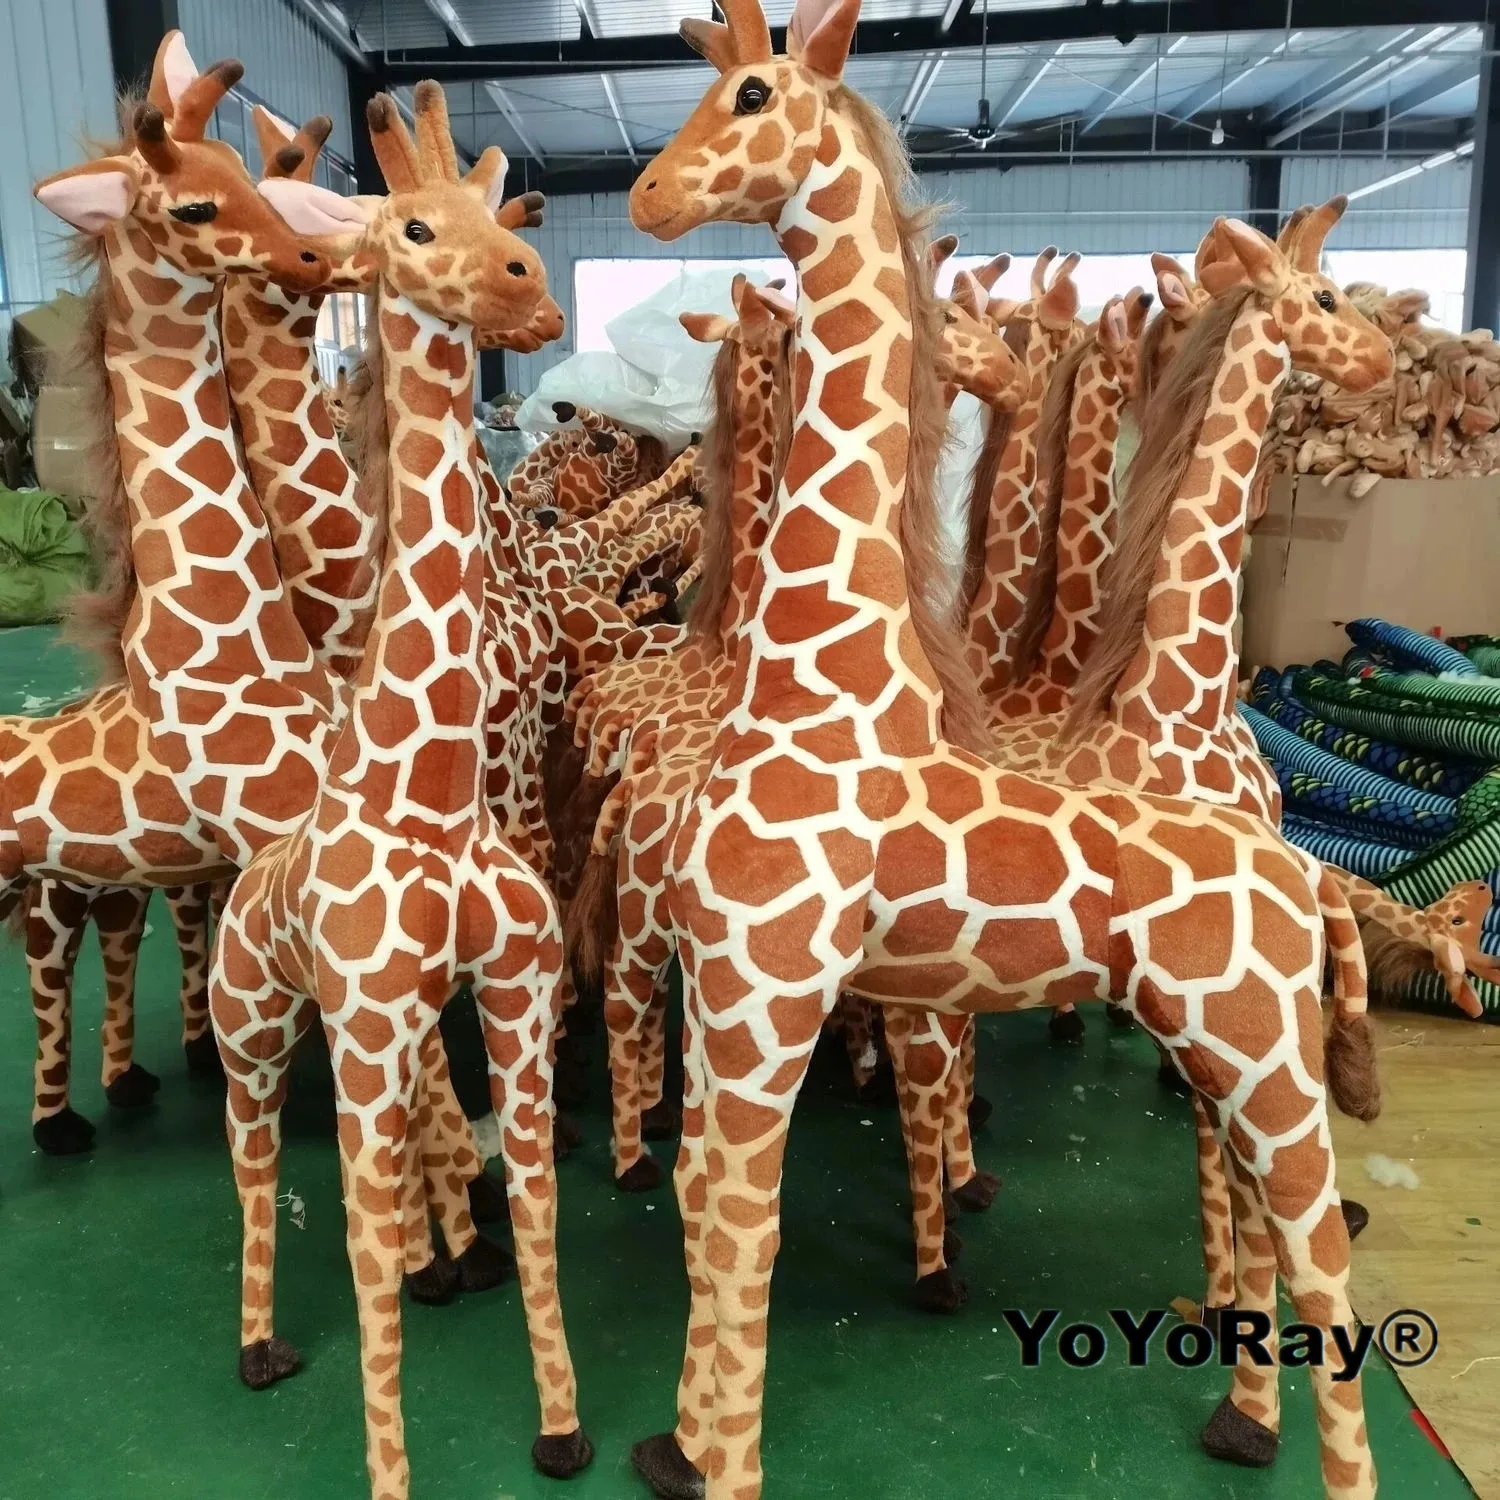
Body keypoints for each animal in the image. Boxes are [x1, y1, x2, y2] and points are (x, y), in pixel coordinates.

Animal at [213, 83, 591, 1500]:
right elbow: (365, 1240)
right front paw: (390, 1474)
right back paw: (258, 1345)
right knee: (255, 1158)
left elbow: (536, 1192)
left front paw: (560, 1424)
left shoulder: (516, 990)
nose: (532, 294)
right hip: (256, 1022)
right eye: (414, 226)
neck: (427, 797)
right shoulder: (366, 1023)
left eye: (502, 218)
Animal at [624, 8, 1383, 1498]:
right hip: (1232, 1046)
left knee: (1319, 1239)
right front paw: (678, 1447)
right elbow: (697, 1202)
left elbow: (744, 1228)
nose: (649, 197)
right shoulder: (719, 995)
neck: (815, 688)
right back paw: (1239, 1412)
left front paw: (722, 1463)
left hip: (1256, 1047)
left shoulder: (771, 998)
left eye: (753, 95)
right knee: (1272, 1209)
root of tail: (1299, 870)